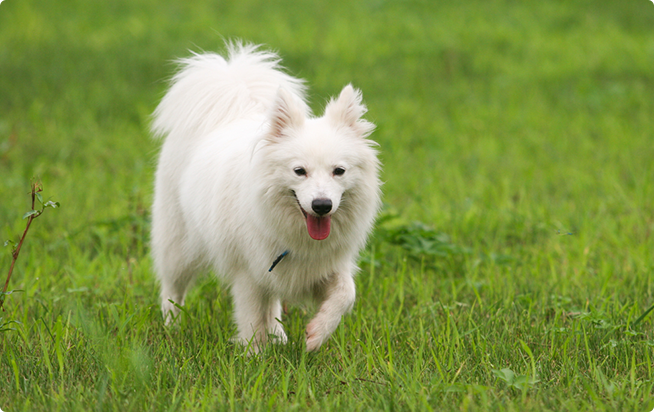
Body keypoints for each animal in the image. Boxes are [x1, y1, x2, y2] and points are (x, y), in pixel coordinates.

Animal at [151, 44, 382, 350]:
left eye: (339, 171)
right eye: (299, 171)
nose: (322, 206)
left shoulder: (324, 266)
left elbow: (346, 294)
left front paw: (316, 334)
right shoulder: (248, 272)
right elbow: (251, 318)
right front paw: (255, 354)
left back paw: (279, 337)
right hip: (179, 246)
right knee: (172, 288)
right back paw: (172, 327)